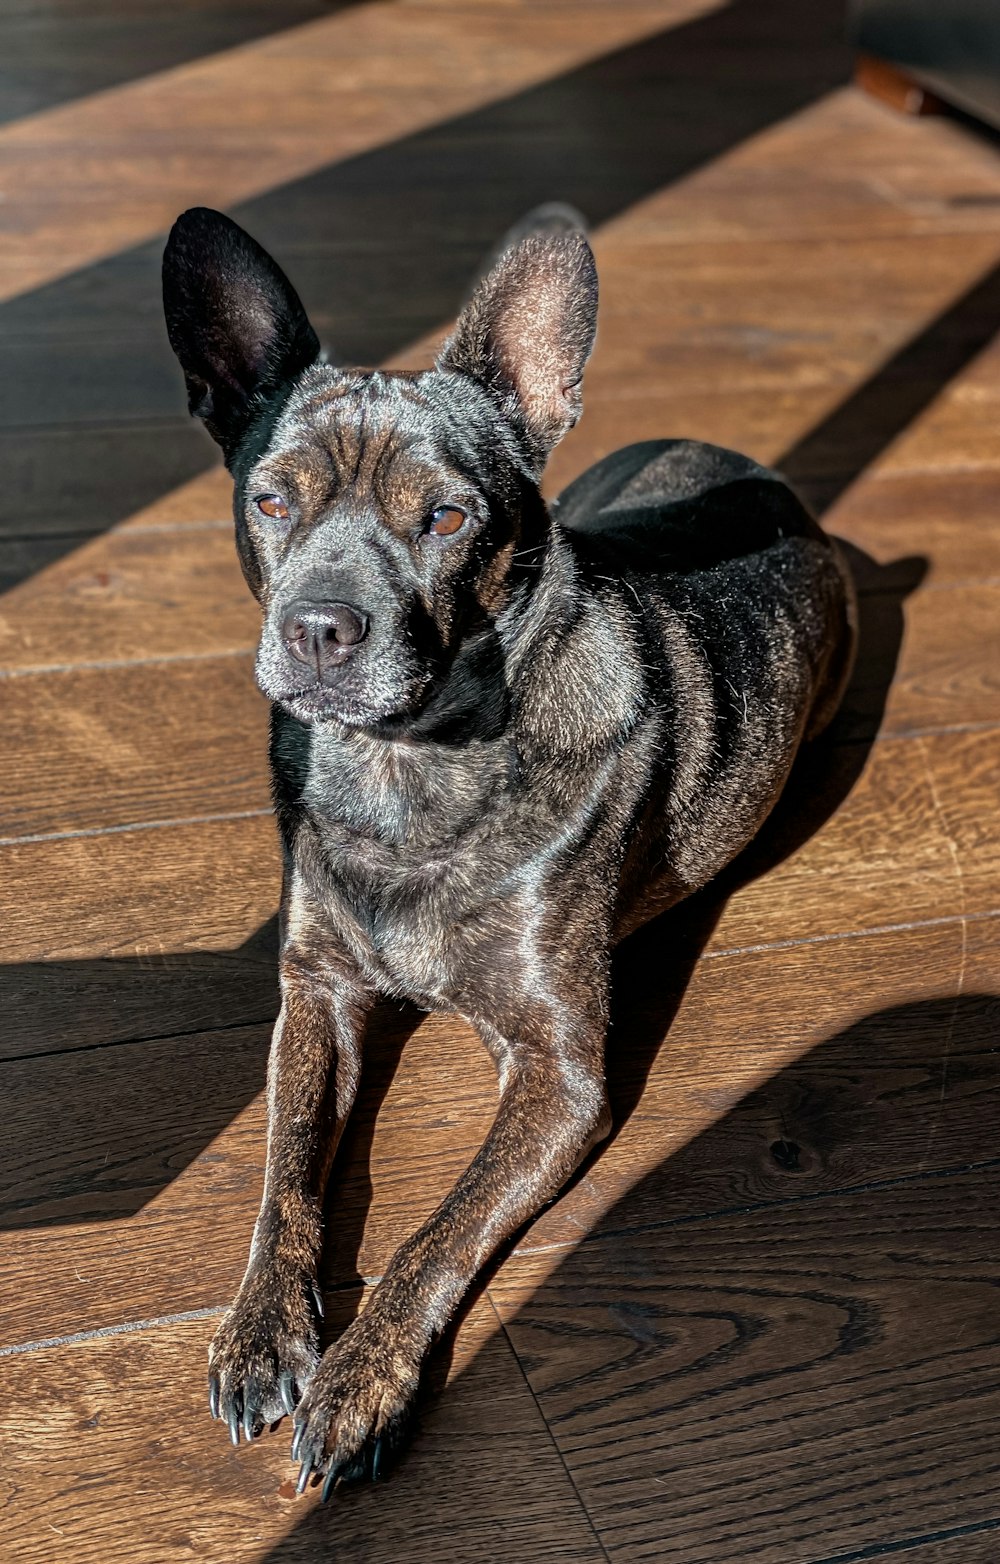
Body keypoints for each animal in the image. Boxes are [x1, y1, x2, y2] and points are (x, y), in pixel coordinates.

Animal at [160, 208, 857, 1488]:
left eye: (445, 520)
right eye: (272, 504)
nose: (321, 627)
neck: (405, 764)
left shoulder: (557, 1072)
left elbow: (437, 1232)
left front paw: (361, 1381)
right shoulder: (317, 992)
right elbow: (286, 1165)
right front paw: (261, 1327)